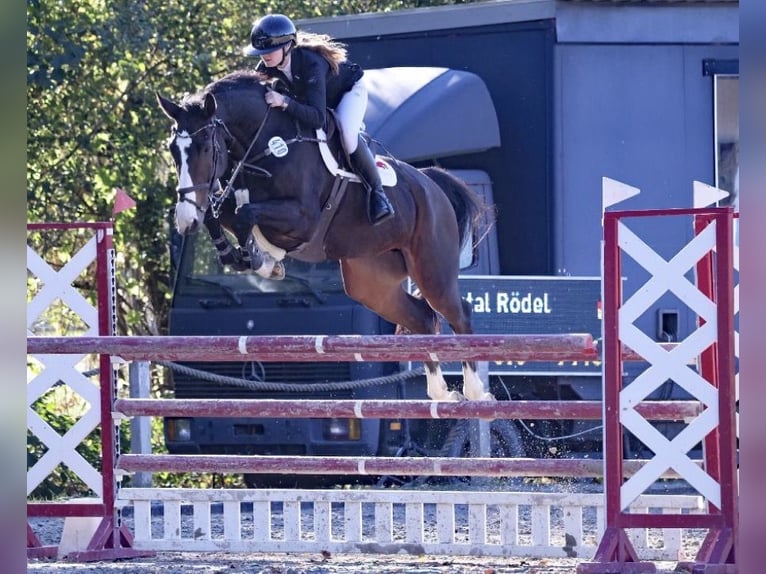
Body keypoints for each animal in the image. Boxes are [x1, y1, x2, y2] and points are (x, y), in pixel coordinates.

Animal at [156, 70, 495, 401]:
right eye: (173, 151)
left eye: (205, 147)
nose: (185, 220)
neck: (264, 145)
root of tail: (431, 183)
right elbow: (221, 215)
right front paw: (239, 254)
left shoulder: (303, 218)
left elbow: (246, 215)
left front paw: (265, 260)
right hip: (370, 281)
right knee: (422, 317)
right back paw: (441, 393)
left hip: (431, 268)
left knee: (458, 312)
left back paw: (476, 392)